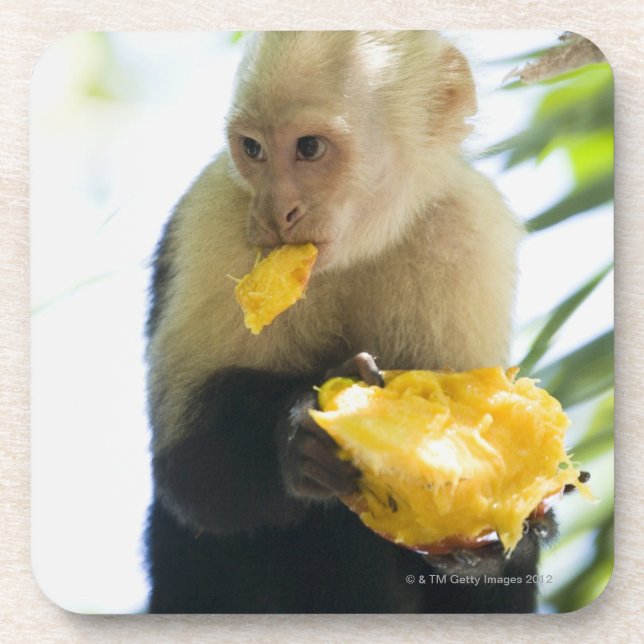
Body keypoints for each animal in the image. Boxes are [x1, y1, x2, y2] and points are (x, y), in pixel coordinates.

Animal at [144, 30, 551, 614]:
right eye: (253, 149)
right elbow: (187, 471)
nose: (275, 212)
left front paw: (508, 541)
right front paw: (299, 435)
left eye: (309, 148)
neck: (360, 244)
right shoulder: (218, 217)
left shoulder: (468, 228)